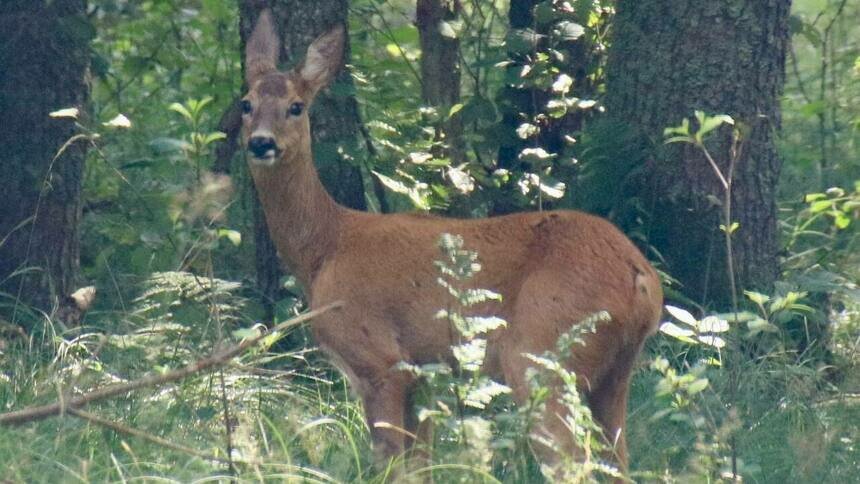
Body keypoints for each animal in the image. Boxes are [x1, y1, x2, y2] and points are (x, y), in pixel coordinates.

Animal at [242, 9, 664, 478]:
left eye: (296, 107)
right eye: (246, 104)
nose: (261, 142)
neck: (326, 248)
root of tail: (642, 279)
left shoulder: (380, 359)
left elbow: (388, 464)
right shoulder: (425, 374)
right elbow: (419, 466)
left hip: (543, 351)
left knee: (572, 462)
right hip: (613, 375)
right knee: (618, 460)